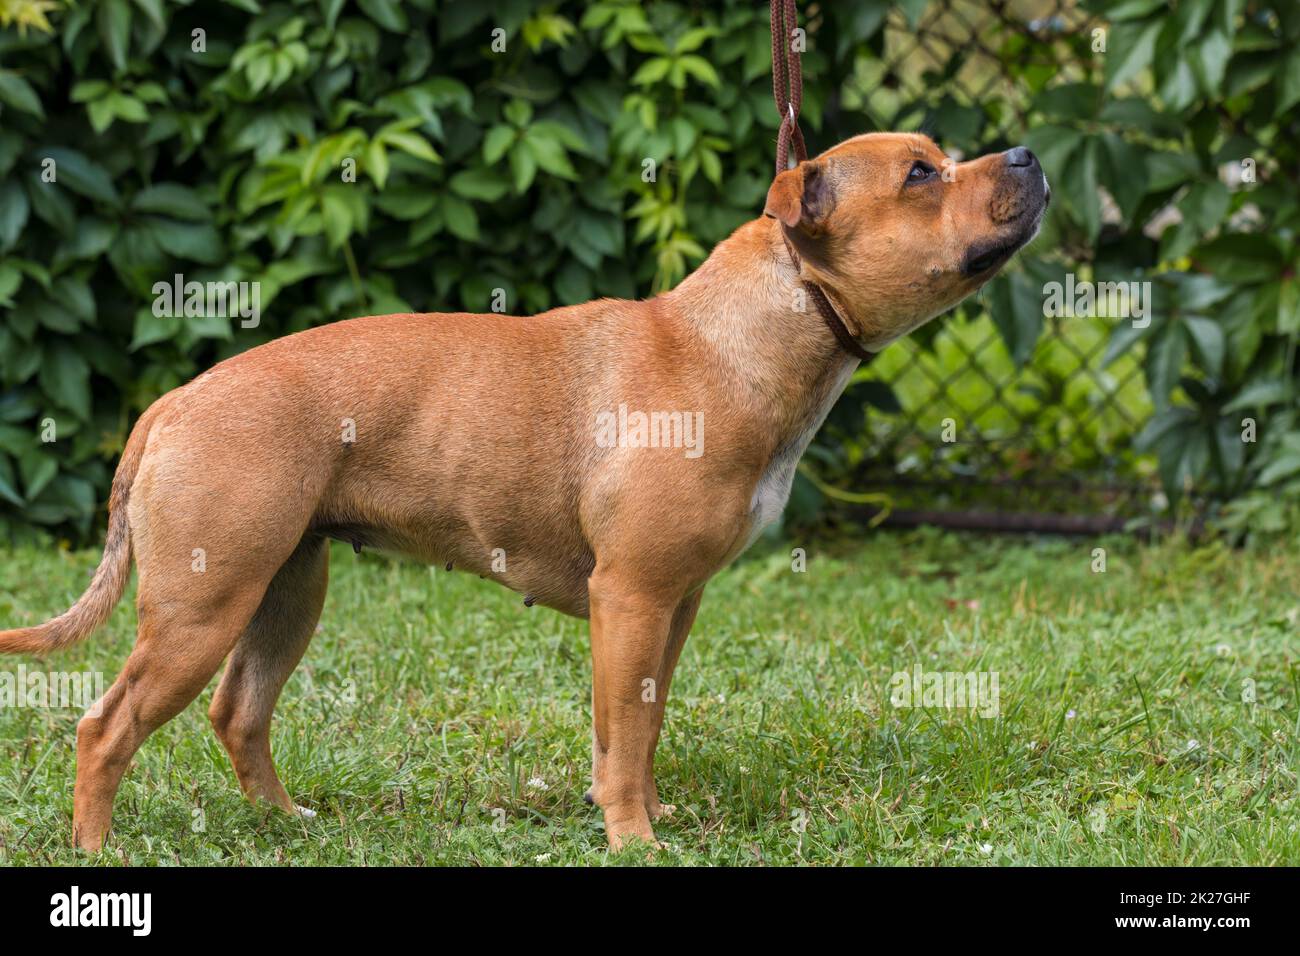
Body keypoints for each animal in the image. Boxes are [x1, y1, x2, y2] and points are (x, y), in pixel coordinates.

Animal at [0, 128, 1045, 853]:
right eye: (920, 175)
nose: (1028, 153)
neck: (749, 330)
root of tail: (174, 403)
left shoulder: (671, 605)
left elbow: (639, 724)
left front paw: (641, 813)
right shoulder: (631, 596)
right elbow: (624, 728)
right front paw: (634, 839)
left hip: (283, 590)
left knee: (239, 714)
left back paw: (287, 824)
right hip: (202, 605)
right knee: (106, 726)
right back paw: (96, 849)